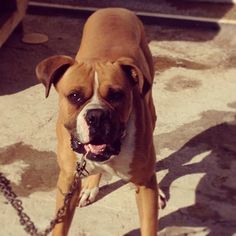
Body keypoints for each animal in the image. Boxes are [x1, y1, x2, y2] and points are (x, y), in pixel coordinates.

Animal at [36, 7, 164, 236]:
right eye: (75, 96)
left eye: (116, 95)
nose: (96, 115)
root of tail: (114, 9)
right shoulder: (67, 182)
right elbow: (59, 226)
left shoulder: (145, 186)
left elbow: (149, 225)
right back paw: (90, 186)